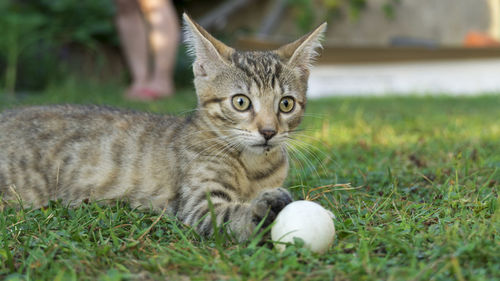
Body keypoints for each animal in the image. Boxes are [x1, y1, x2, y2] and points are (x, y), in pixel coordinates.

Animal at [0, 13, 326, 241]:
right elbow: (229, 215)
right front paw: (263, 207)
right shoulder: (198, 203)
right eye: (241, 102)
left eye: (286, 104)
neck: (253, 168)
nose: (269, 132)